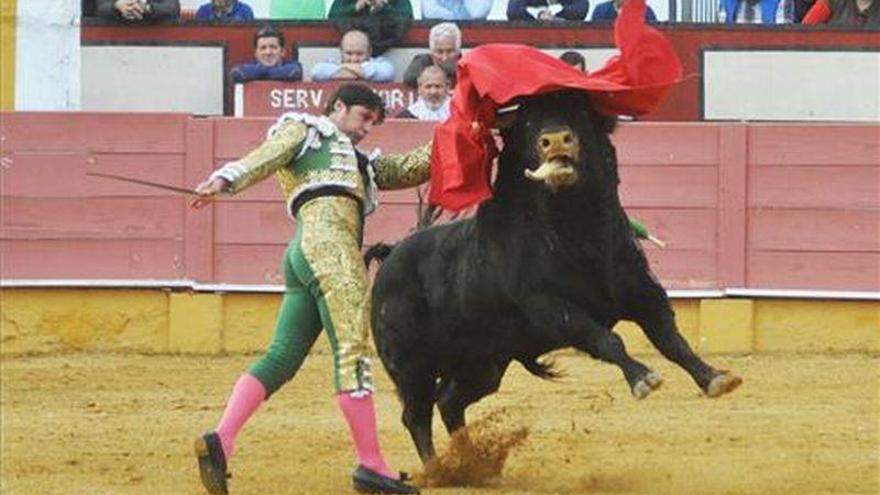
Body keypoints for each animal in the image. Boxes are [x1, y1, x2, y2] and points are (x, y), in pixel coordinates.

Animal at [364, 90, 744, 464]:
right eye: (528, 122)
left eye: (581, 114)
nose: (556, 139)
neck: (579, 232)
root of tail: (392, 255)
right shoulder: (550, 308)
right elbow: (607, 339)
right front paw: (643, 378)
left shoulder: (643, 292)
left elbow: (672, 341)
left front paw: (714, 378)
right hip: (413, 364)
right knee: (417, 414)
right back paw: (436, 470)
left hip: (482, 363)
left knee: (449, 402)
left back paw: (468, 464)